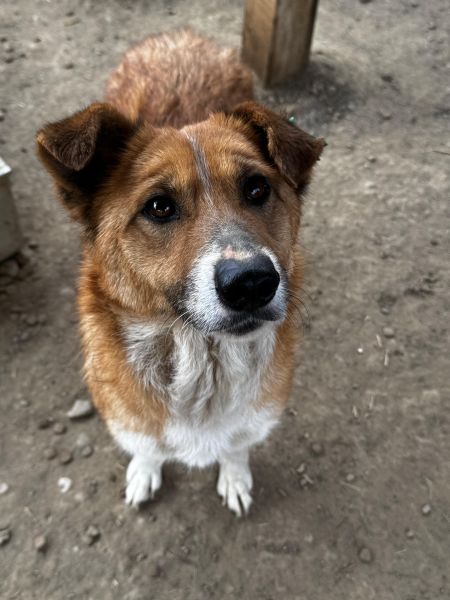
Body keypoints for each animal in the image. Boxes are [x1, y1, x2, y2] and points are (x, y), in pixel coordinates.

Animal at [36, 29, 324, 516]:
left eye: (257, 188)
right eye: (159, 206)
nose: (252, 283)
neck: (200, 356)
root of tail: (182, 37)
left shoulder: (257, 414)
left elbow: (235, 446)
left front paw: (234, 476)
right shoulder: (127, 417)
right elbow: (148, 447)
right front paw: (144, 471)